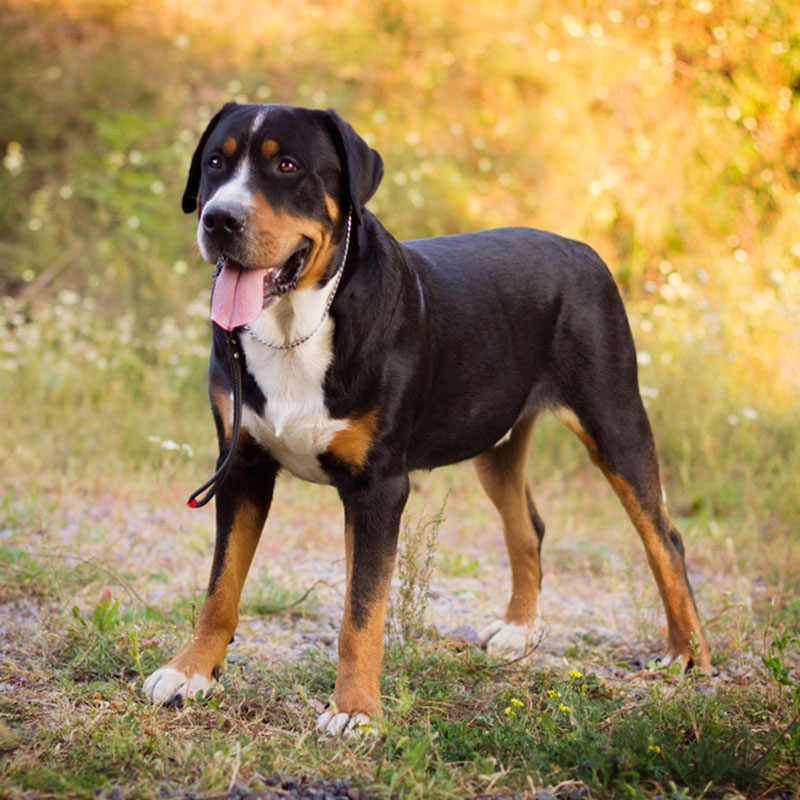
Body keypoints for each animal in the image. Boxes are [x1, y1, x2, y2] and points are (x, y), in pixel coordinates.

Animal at [141, 103, 708, 736]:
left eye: (287, 165)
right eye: (216, 162)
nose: (220, 219)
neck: (294, 328)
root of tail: (581, 248)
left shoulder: (379, 486)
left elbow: (361, 612)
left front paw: (355, 708)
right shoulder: (241, 466)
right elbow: (221, 589)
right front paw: (191, 672)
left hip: (614, 422)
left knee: (665, 539)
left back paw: (688, 656)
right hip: (496, 442)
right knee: (527, 528)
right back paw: (520, 630)